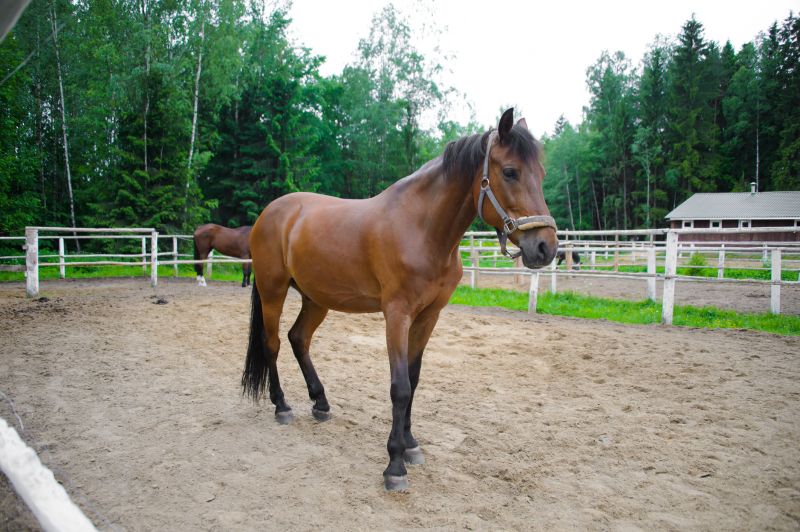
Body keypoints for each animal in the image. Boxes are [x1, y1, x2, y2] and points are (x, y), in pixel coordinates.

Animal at [242, 108, 558, 491]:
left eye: (541, 174)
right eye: (510, 171)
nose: (545, 247)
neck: (421, 228)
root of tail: (269, 213)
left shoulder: (428, 317)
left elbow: (415, 378)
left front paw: (410, 444)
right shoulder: (397, 315)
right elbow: (400, 387)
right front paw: (394, 463)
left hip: (316, 299)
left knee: (297, 338)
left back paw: (320, 402)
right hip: (273, 292)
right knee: (272, 343)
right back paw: (282, 406)